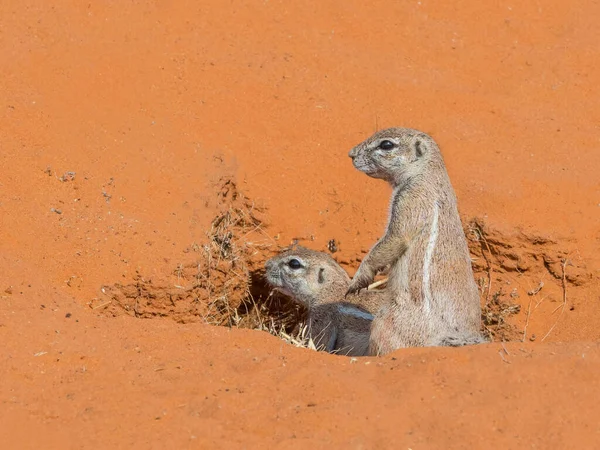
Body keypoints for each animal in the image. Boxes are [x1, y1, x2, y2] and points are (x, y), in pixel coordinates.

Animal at [346, 126, 482, 356]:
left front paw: (357, 281)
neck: (426, 173)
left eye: (387, 144)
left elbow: (393, 240)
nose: (351, 154)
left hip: (384, 321)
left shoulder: (410, 200)